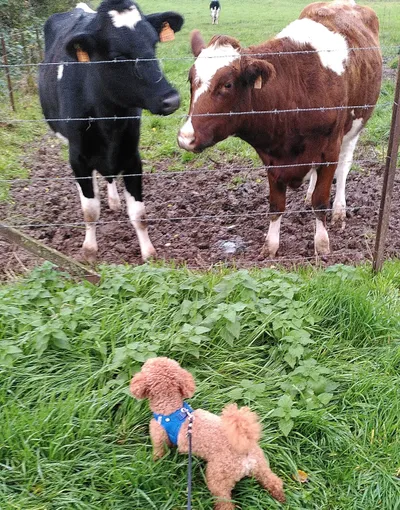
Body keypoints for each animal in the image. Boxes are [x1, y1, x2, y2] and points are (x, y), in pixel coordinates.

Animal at [39, 0, 184, 262]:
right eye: (117, 57)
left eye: (153, 44)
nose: (171, 99)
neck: (108, 120)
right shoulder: (78, 157)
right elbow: (89, 210)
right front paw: (89, 251)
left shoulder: (131, 154)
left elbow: (139, 213)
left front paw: (148, 252)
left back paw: (114, 200)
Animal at [130, 356, 284, 508]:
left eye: (145, 367)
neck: (170, 408)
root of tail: (244, 451)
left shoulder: (159, 438)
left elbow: (158, 453)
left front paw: (154, 464)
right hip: (261, 466)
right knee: (274, 481)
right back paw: (281, 498)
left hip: (218, 477)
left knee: (224, 501)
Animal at [177, 0, 382, 255]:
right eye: (190, 79)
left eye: (227, 84)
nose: (186, 137)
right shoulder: (272, 157)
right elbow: (276, 204)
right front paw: (270, 246)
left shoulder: (330, 148)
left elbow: (321, 200)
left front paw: (322, 244)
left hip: (355, 127)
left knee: (344, 167)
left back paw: (339, 211)